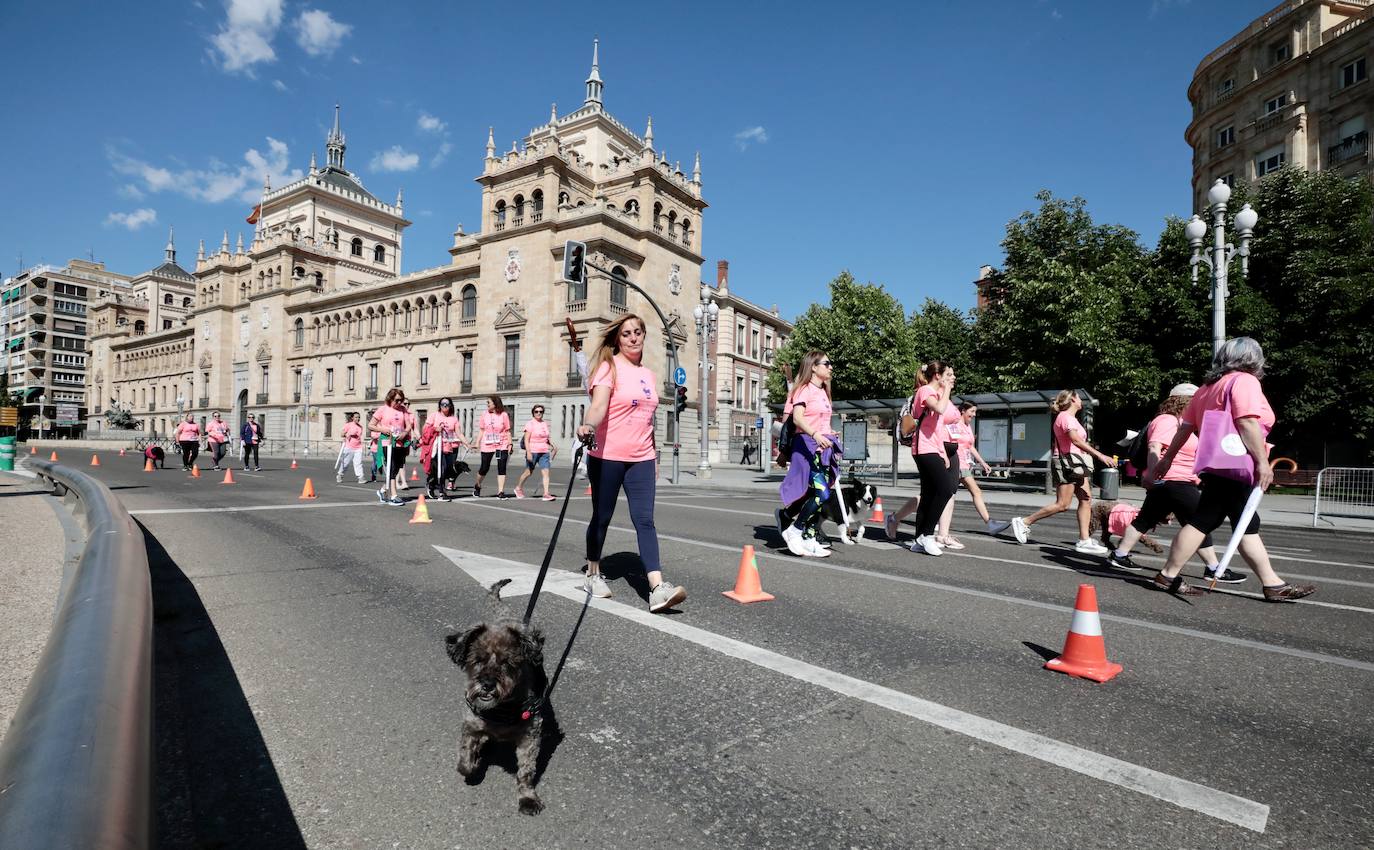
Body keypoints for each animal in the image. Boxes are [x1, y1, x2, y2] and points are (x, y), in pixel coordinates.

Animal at [442, 582, 544, 812]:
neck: (500, 710)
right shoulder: (470, 725)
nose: (487, 684)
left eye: (507, 662)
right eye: (478, 659)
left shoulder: (530, 735)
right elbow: (464, 760)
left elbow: (526, 770)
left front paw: (527, 798)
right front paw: (473, 763)